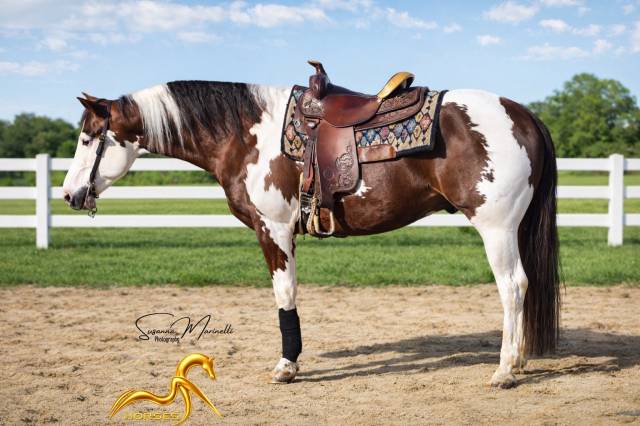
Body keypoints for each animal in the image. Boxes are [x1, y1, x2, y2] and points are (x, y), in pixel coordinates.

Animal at [62, 77, 560, 389]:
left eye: (88, 138)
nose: (69, 194)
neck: (247, 135)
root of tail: (521, 114)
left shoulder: (274, 230)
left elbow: (285, 295)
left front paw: (287, 366)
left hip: (497, 228)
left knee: (513, 287)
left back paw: (505, 370)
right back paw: (517, 361)